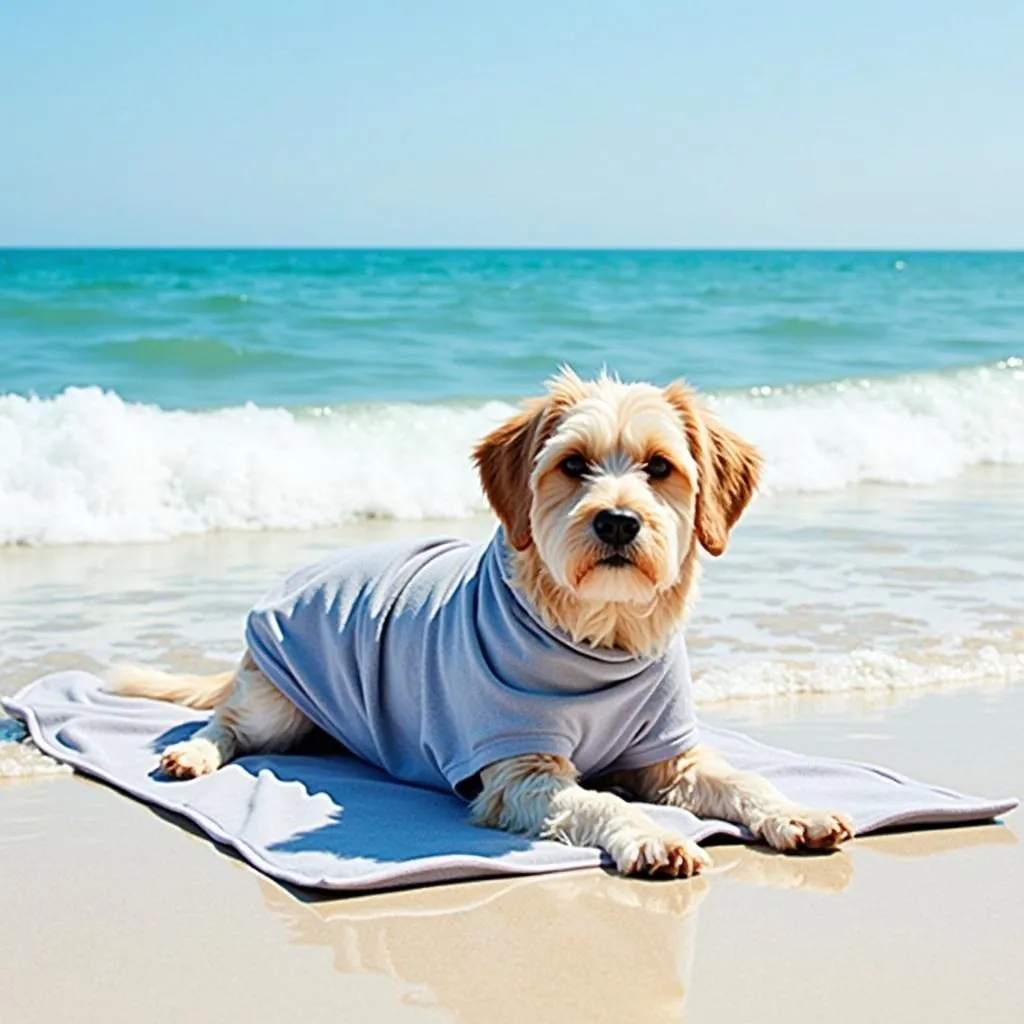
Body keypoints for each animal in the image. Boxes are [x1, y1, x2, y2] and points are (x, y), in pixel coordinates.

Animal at [112, 372, 851, 876]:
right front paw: (651, 833)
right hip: (277, 701)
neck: (598, 634)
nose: (617, 522)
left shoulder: (673, 756)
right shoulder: (518, 770)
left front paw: (796, 810)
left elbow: (746, 781)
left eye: (660, 467)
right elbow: (600, 802)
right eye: (573, 465)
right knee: (230, 723)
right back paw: (194, 751)